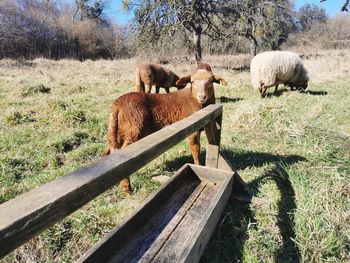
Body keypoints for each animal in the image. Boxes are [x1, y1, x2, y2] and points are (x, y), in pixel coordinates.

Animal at [105, 68, 228, 196]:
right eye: (192, 82)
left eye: (210, 81)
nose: (202, 96)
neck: (195, 101)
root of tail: (117, 104)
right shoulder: (192, 130)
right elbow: (196, 150)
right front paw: (198, 166)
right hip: (133, 130)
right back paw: (127, 189)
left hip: (118, 130)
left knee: (111, 150)